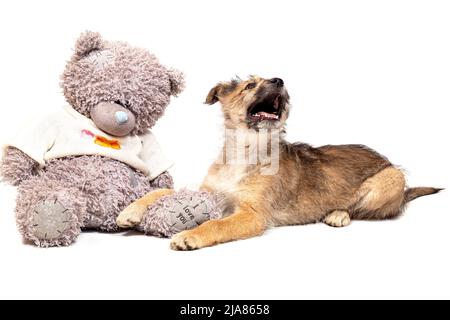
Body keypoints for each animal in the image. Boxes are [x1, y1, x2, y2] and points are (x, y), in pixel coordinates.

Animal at [115, 75, 440, 250]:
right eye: (249, 86)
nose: (279, 80)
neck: (245, 150)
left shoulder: (252, 215)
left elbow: (217, 224)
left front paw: (191, 235)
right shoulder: (210, 192)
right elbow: (163, 191)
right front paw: (130, 211)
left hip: (390, 179)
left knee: (364, 210)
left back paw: (338, 214)